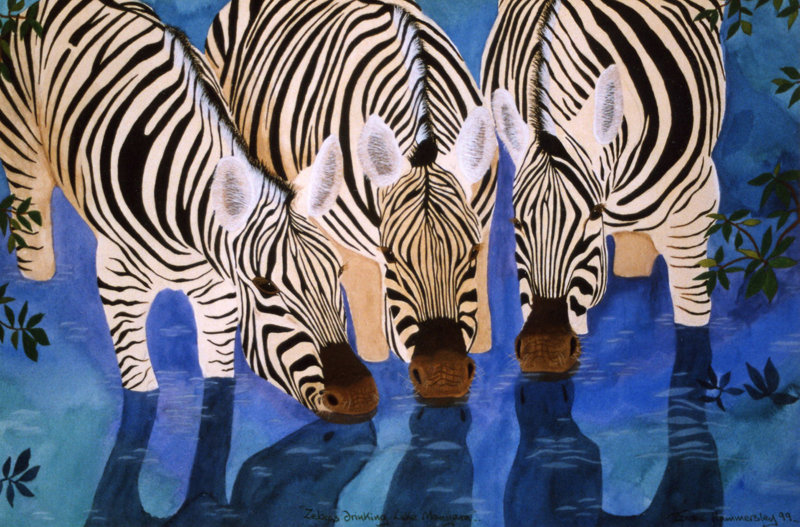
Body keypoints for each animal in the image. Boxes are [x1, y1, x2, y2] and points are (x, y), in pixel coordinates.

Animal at [0, 0, 378, 422]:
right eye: (266, 286)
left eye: (338, 272)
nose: (360, 398)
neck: (187, 228)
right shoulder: (119, 288)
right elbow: (141, 395)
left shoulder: (221, 297)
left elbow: (218, 389)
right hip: (23, 164)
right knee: (35, 253)